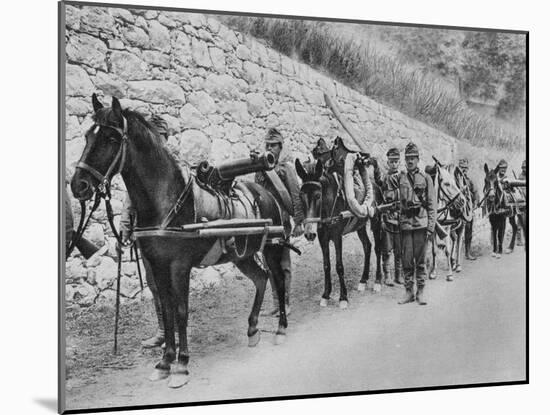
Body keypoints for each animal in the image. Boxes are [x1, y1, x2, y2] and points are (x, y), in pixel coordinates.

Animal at [70, 96, 288, 388]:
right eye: (87, 136)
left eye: (111, 138)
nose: (78, 185)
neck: (167, 201)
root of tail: (266, 193)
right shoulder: (158, 267)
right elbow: (167, 311)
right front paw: (164, 362)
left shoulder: (179, 267)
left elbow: (182, 311)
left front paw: (182, 365)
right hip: (242, 256)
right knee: (261, 279)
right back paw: (252, 329)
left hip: (272, 247)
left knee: (278, 280)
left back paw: (281, 329)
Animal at [298, 137, 384, 308]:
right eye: (300, 195)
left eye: (318, 195)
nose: (309, 234)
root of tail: (375, 184)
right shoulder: (322, 237)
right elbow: (326, 265)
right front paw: (325, 295)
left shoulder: (337, 236)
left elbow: (339, 265)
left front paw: (343, 298)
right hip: (360, 225)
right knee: (367, 246)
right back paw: (363, 281)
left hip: (376, 220)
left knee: (377, 248)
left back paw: (377, 281)